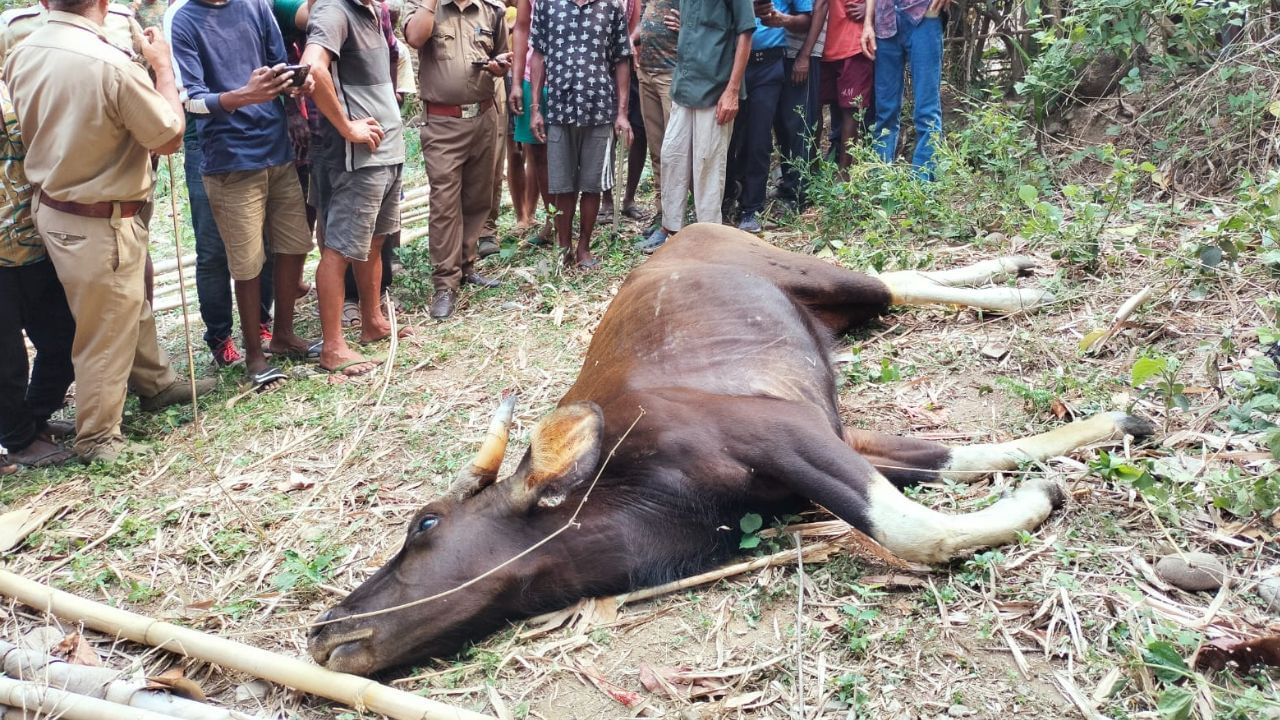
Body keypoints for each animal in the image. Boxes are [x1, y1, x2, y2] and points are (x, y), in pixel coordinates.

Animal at [307, 224, 1152, 671]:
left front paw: (1045, 491)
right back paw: (1021, 279)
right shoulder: (836, 437)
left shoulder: (786, 433)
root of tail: (686, 228)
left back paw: (1019, 286)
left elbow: (909, 527)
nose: (323, 629)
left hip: (809, 271)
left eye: (423, 525)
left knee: (887, 275)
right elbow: (955, 456)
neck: (632, 494)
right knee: (898, 278)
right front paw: (1108, 427)